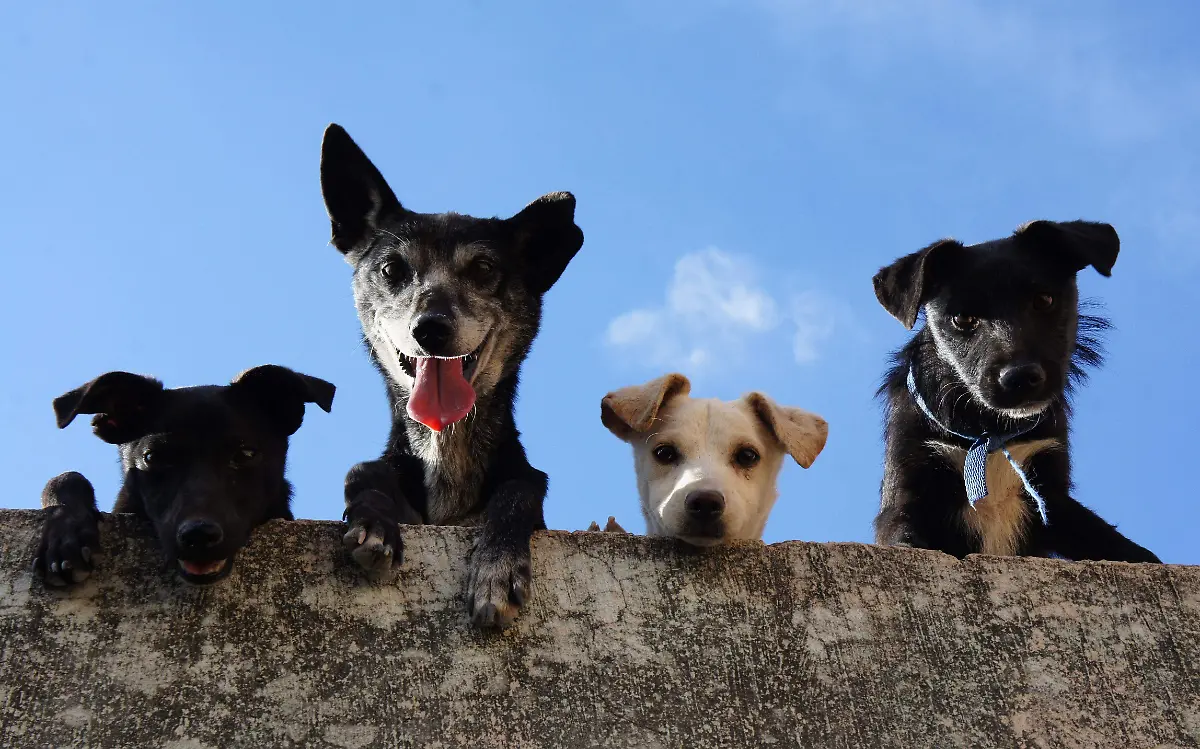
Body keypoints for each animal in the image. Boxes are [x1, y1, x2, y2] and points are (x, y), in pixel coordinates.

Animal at [316, 126, 583, 628]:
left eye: (483, 269)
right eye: (392, 269)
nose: (431, 328)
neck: (446, 452)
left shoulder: (524, 488)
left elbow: (520, 489)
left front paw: (497, 569)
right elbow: (362, 471)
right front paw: (373, 524)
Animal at [873, 218, 1161, 561]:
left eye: (1044, 300)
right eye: (962, 318)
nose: (1020, 377)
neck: (990, 431)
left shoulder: (1052, 496)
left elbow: (1115, 543)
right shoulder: (907, 490)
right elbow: (904, 536)